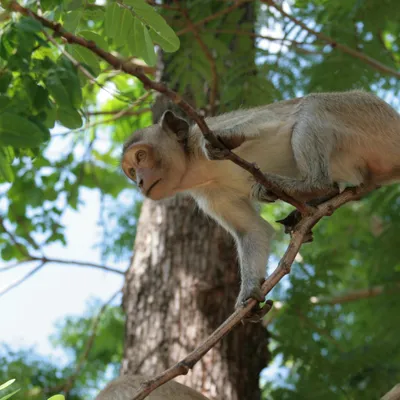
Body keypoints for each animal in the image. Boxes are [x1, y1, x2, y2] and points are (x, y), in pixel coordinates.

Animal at [120, 90, 400, 308]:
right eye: (131, 171)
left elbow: (268, 120)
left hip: (367, 114)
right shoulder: (210, 194)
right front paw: (249, 297)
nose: (140, 182)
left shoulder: (203, 135)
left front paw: (230, 138)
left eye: (141, 156)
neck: (196, 166)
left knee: (313, 105)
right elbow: (253, 231)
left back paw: (312, 185)